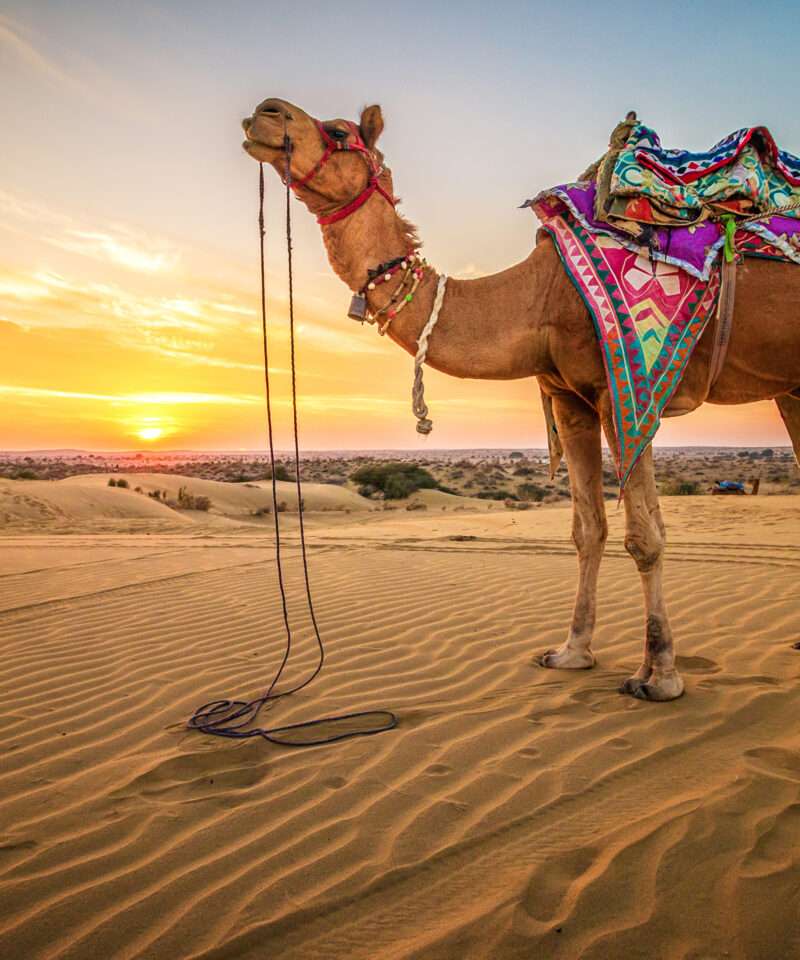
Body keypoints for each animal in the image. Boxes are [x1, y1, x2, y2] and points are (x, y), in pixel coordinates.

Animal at [242, 99, 800, 704]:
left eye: (340, 132)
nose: (265, 113)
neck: (537, 295)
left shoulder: (625, 392)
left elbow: (645, 536)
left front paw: (660, 675)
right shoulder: (569, 399)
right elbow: (587, 530)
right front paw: (572, 652)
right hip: (792, 387)